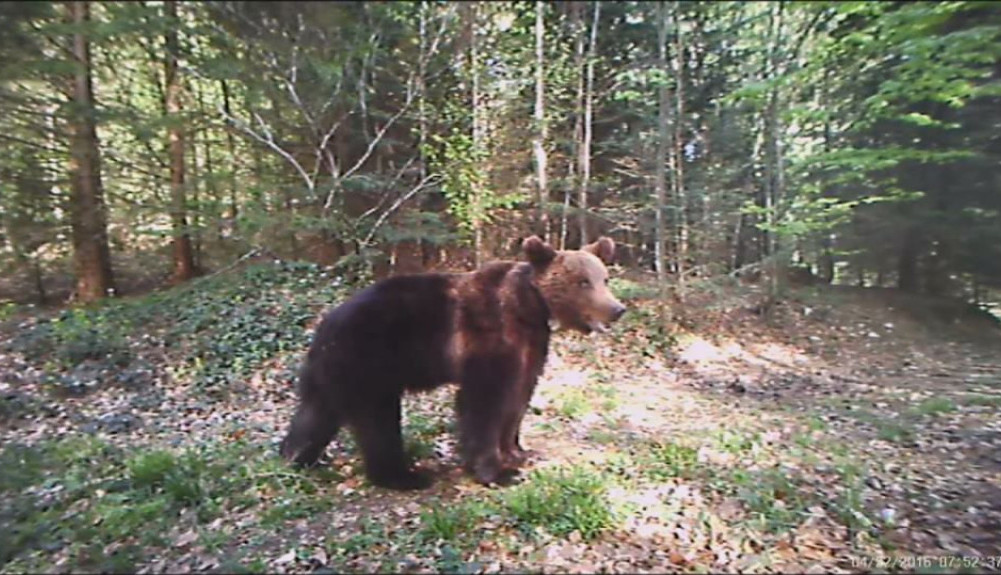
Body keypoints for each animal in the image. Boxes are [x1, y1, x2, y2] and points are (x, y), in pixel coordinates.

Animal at [278, 234, 624, 490]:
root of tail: (324, 325)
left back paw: (296, 458)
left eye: (604, 278)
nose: (617, 309)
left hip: (332, 372)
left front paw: (519, 452)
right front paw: (496, 471)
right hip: (369, 363)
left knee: (314, 413)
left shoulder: (531, 346)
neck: (529, 308)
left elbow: (519, 396)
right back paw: (404, 476)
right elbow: (485, 403)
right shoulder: (488, 340)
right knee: (377, 421)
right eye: (583, 281)